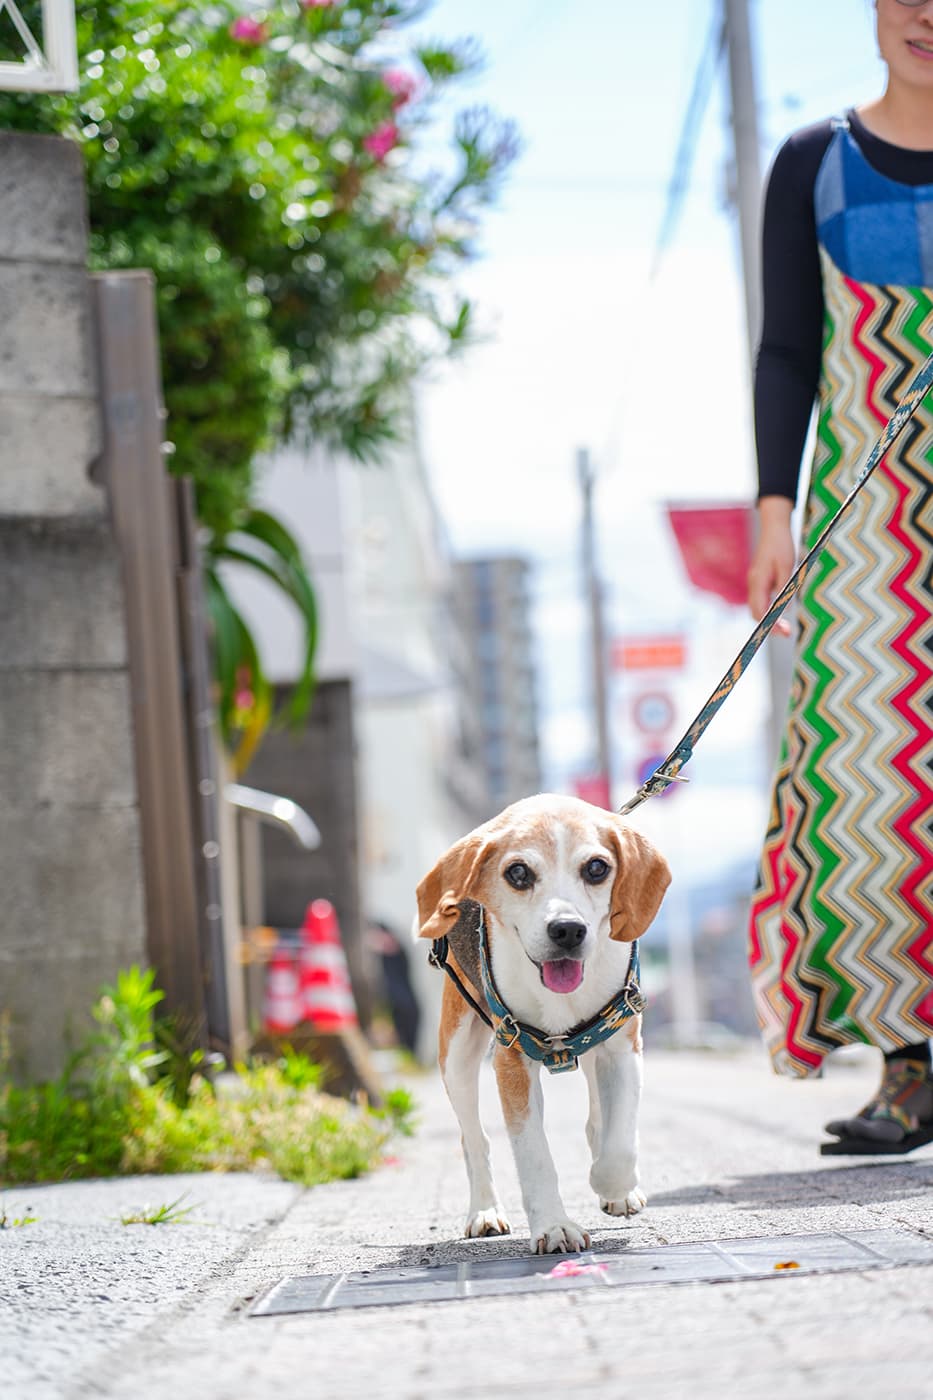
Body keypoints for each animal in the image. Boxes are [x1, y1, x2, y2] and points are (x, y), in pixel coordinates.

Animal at [414, 800, 669, 1260]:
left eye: (597, 868)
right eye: (518, 873)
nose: (567, 929)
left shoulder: (621, 1046)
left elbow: (620, 1143)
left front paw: (611, 1184)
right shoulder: (512, 1058)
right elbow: (534, 1155)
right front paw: (554, 1227)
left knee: (598, 1121)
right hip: (456, 1055)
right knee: (473, 1139)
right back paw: (484, 1211)